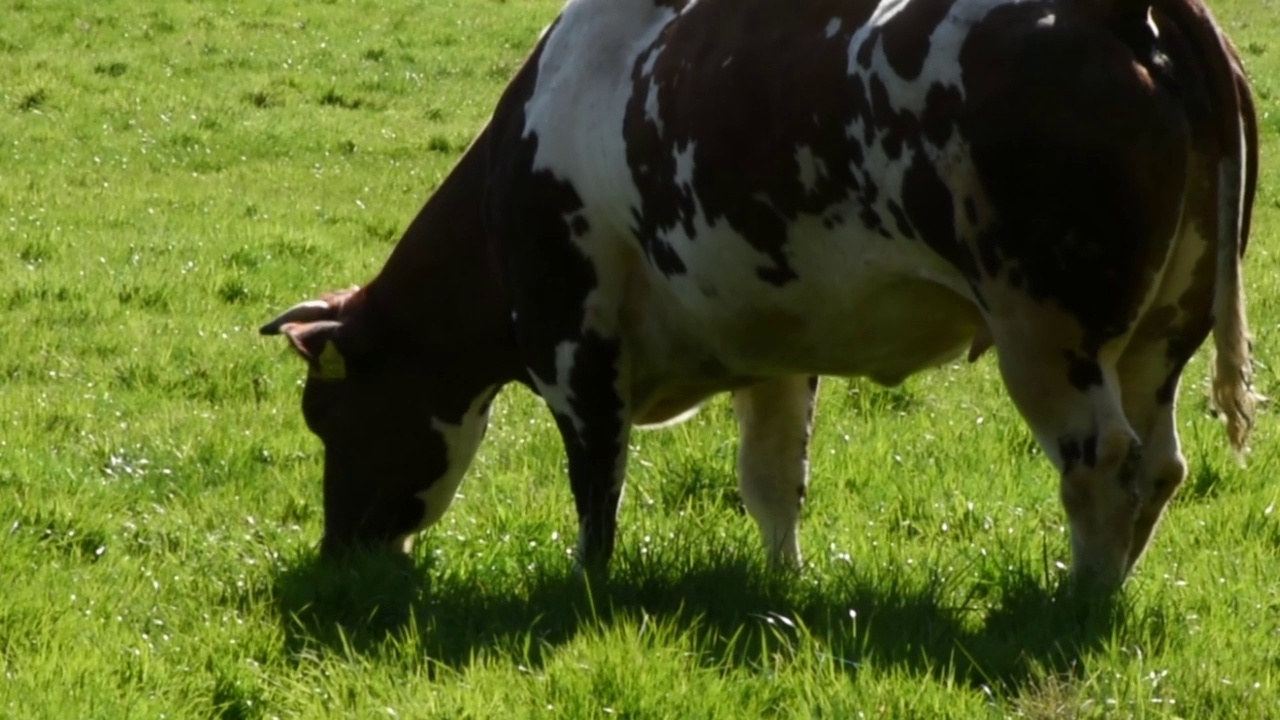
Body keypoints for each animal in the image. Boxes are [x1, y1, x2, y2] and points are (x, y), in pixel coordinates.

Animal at [259, 0, 1259, 594]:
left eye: (327, 415)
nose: (339, 553)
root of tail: (1129, 11)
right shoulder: (777, 351)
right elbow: (773, 481)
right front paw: (784, 587)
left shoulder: (574, 347)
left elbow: (596, 490)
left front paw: (586, 590)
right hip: (1160, 333)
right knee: (1160, 464)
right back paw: (1111, 589)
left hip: (1047, 329)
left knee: (1103, 461)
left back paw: (1076, 599)